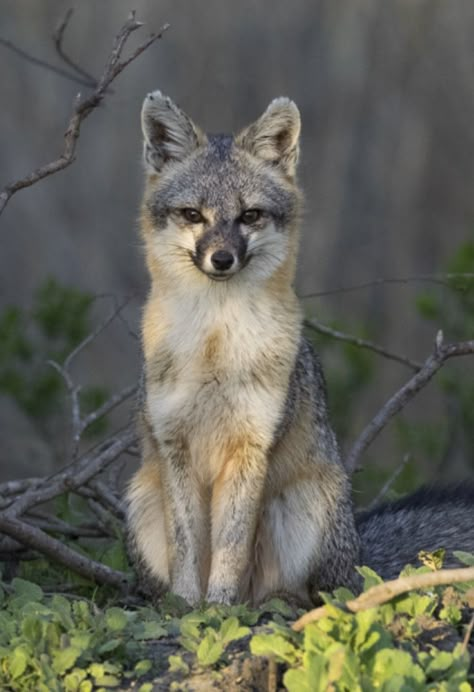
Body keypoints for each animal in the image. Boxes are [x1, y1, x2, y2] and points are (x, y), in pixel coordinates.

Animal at [126, 92, 474, 604]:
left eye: (249, 216)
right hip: (142, 499)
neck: (215, 346)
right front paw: (186, 608)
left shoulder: (251, 446)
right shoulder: (175, 446)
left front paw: (219, 609)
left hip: (302, 507)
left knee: (304, 593)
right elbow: (189, 552)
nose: (221, 259)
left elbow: (230, 552)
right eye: (193, 215)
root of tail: (356, 554)